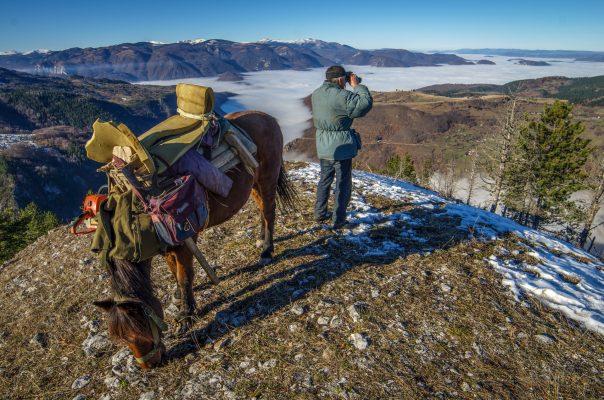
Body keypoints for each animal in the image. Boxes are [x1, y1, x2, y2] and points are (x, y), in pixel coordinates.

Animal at [92, 111, 298, 368]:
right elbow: (175, 272)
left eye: (139, 331)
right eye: (120, 337)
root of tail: (267, 116)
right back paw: (261, 240)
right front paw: (179, 298)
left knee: (269, 211)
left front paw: (185, 315)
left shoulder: (183, 243)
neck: (135, 215)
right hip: (252, 181)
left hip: (267, 178)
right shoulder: (166, 247)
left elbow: (185, 276)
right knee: (261, 210)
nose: (149, 365)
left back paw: (267, 251)